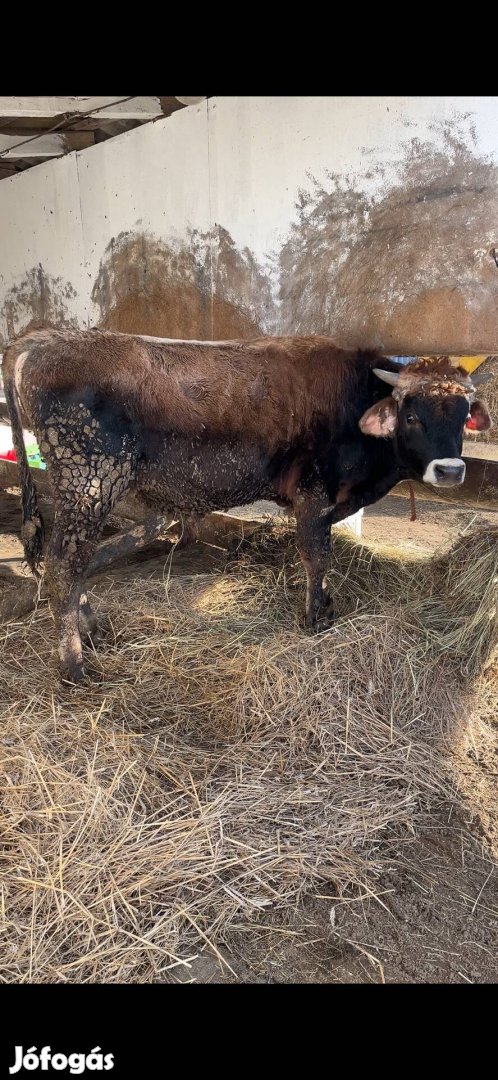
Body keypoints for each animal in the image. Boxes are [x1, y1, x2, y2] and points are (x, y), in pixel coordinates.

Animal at [0, 330, 488, 682]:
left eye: (464, 413)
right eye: (412, 415)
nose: (449, 471)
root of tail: (46, 339)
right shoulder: (314, 494)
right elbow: (317, 556)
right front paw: (315, 618)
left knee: (70, 560)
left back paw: (92, 631)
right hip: (89, 481)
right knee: (65, 563)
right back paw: (75, 665)